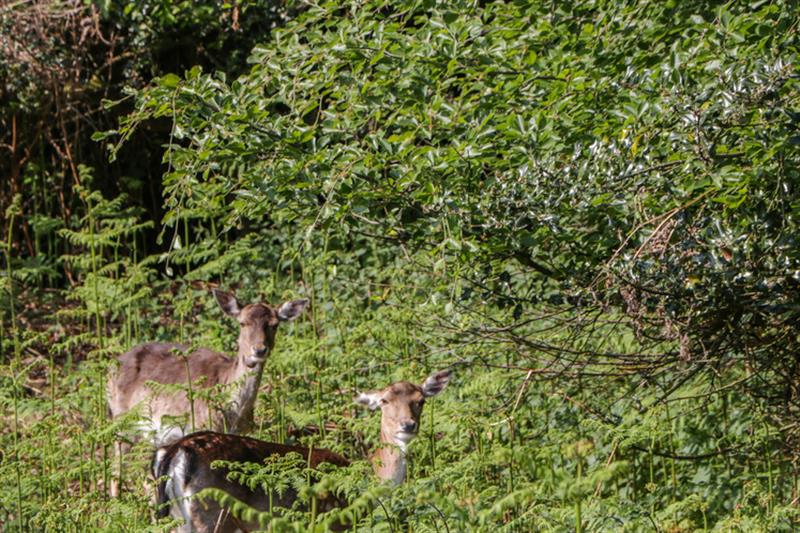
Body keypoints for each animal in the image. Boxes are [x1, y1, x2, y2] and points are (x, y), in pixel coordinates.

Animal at [106, 288, 306, 496]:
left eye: (274, 325)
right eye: (242, 323)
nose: (259, 350)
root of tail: (111, 367)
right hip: (122, 421)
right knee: (116, 468)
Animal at [149, 370, 450, 532]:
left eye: (420, 400)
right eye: (385, 401)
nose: (407, 425)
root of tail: (176, 451)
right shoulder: (333, 521)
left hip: (174, 516)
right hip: (211, 513)